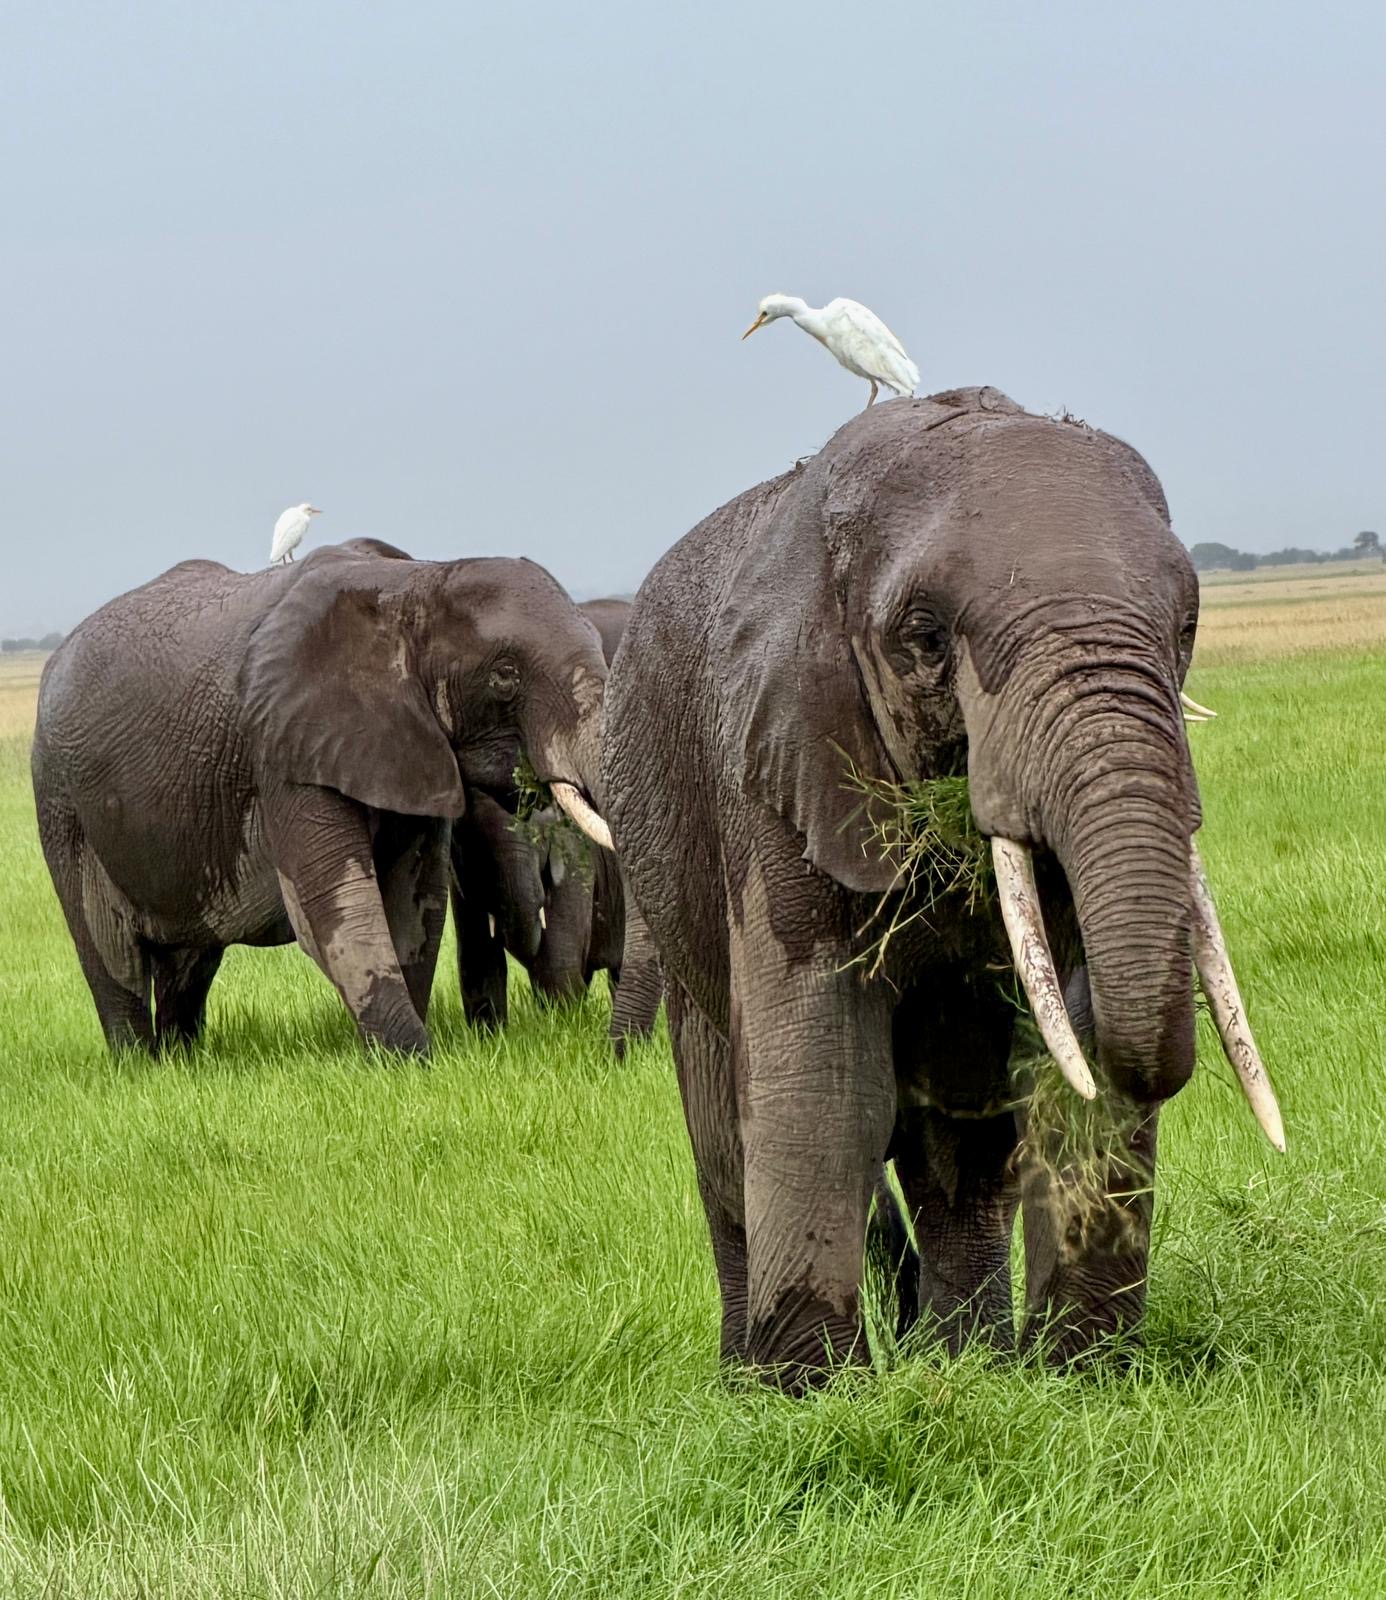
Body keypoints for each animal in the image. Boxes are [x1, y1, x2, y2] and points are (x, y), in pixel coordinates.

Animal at [32, 541, 614, 1055]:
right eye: (504, 675)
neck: (414, 584)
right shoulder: (281, 746)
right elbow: (334, 908)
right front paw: (414, 1059)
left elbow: (415, 904)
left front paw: (406, 1056)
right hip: (61, 802)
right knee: (115, 959)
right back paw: (140, 1065)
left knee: (190, 963)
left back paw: (182, 1062)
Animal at [448, 597, 664, 1050]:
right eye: (472, 849)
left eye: (543, 839)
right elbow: (475, 955)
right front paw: (490, 1040)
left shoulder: (578, 854)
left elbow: (560, 959)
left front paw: (560, 1023)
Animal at [604, 386, 1280, 1387]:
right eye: (923, 640)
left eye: (1187, 629)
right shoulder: (772, 764)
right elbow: (828, 1082)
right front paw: (815, 1395)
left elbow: (1052, 1065)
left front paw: (1078, 1382)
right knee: (727, 1137)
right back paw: (751, 1382)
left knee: (959, 1154)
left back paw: (966, 1365)